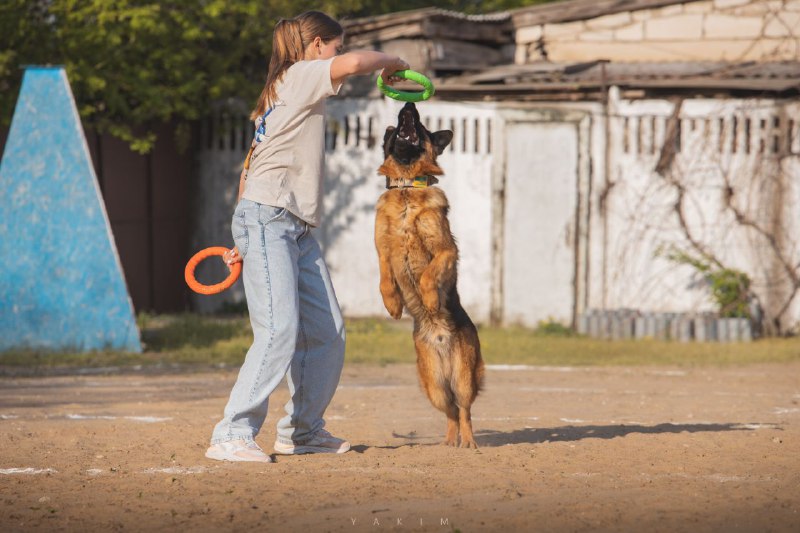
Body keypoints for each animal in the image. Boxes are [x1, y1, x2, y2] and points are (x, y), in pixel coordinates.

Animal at [374, 101, 484, 448]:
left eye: (421, 127)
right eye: (398, 126)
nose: (408, 105)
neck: (407, 189)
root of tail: (438, 341)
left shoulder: (447, 251)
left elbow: (428, 275)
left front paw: (431, 300)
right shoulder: (383, 252)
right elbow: (384, 279)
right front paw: (393, 304)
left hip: (462, 378)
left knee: (464, 410)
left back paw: (469, 443)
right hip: (434, 386)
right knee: (449, 412)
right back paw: (448, 443)